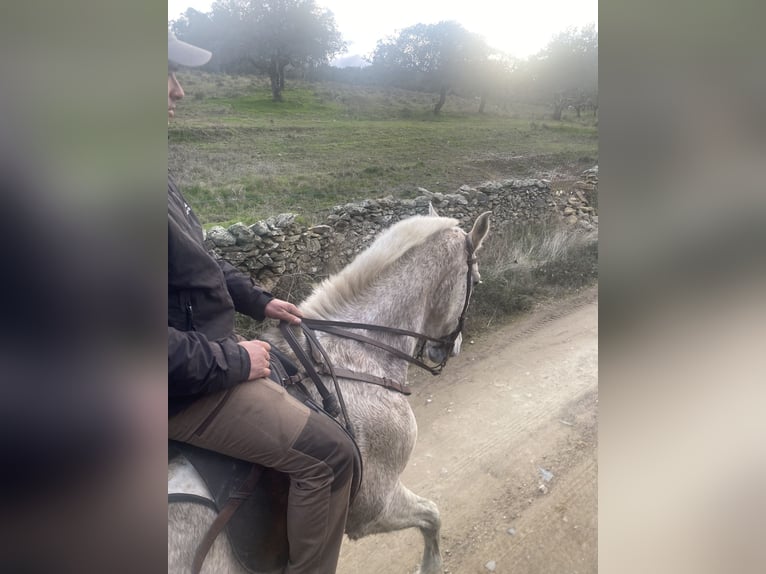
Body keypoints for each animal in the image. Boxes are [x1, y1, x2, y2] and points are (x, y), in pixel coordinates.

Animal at [168, 209, 492, 574]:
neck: (355, 355)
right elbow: (433, 515)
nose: (450, 349)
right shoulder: (375, 506)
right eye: (476, 281)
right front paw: (432, 566)